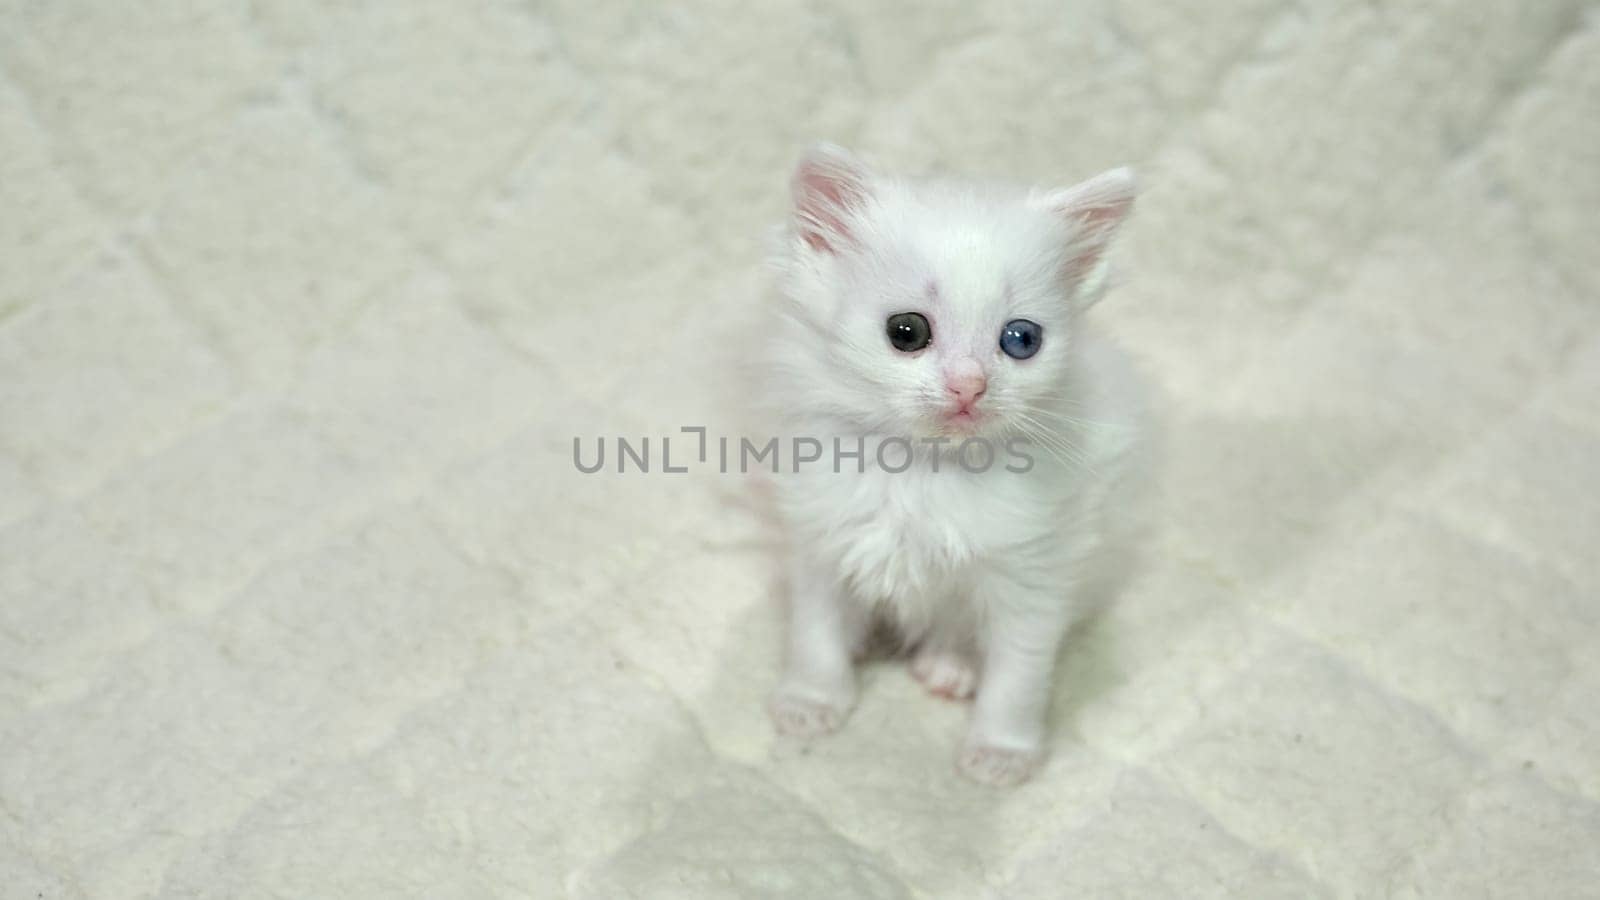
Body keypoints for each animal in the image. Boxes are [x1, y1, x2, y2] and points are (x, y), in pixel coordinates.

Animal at [758, 143, 1145, 781]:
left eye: (1021, 339)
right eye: (906, 331)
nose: (970, 386)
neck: (924, 469)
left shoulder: (1034, 572)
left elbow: (1019, 673)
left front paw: (1001, 752)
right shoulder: (822, 537)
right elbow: (815, 632)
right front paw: (811, 702)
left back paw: (951, 664)